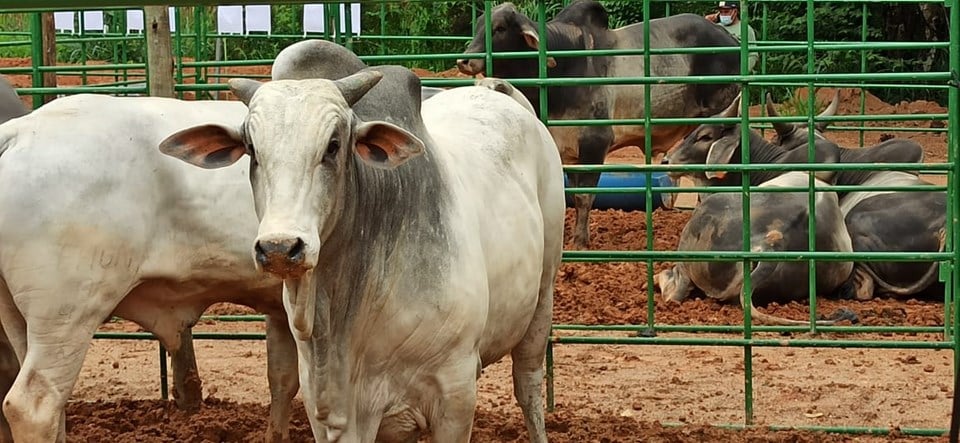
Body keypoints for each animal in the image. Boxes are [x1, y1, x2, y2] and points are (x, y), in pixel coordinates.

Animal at [0, 95, 296, 442]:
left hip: (20, 317)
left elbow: (283, 381)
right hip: (66, 313)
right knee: (35, 404)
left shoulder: (281, 309)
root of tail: (18, 131)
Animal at [158, 50, 564, 442]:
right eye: (252, 149)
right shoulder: (330, 405)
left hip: (542, 298)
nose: (279, 248)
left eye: (333, 146)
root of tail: (495, 91)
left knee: (528, 385)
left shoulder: (456, 390)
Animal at [454, 0, 740, 250]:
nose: (464, 60)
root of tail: (728, 38)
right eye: (478, 25)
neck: (564, 65)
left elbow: (584, 195)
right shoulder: (568, 151)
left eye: (500, 28)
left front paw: (580, 242)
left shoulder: (594, 143)